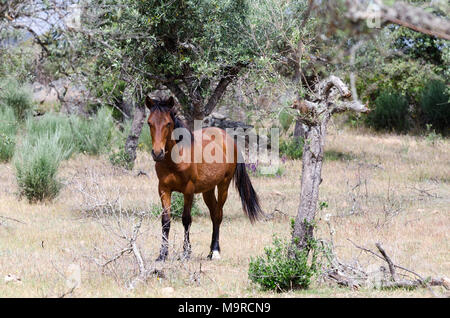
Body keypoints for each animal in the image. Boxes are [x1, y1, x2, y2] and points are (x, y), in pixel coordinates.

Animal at [146, 97, 262, 260]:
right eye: (149, 122)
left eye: (168, 123)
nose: (157, 153)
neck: (176, 159)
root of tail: (227, 137)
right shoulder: (163, 189)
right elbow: (166, 221)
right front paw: (162, 254)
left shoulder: (188, 191)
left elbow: (186, 219)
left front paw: (186, 252)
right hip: (208, 190)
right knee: (214, 214)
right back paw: (210, 251)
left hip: (223, 186)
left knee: (218, 215)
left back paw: (215, 251)